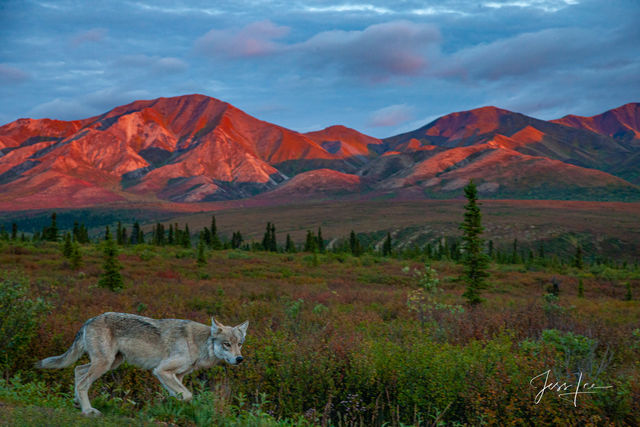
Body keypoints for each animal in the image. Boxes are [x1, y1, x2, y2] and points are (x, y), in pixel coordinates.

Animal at [34, 312, 250, 416]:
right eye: (227, 344)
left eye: (239, 344)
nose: (239, 359)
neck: (199, 344)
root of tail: (89, 320)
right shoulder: (161, 371)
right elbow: (188, 395)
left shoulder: (177, 376)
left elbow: (179, 395)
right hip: (104, 364)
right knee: (82, 382)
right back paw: (88, 411)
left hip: (111, 363)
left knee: (78, 371)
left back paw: (78, 403)